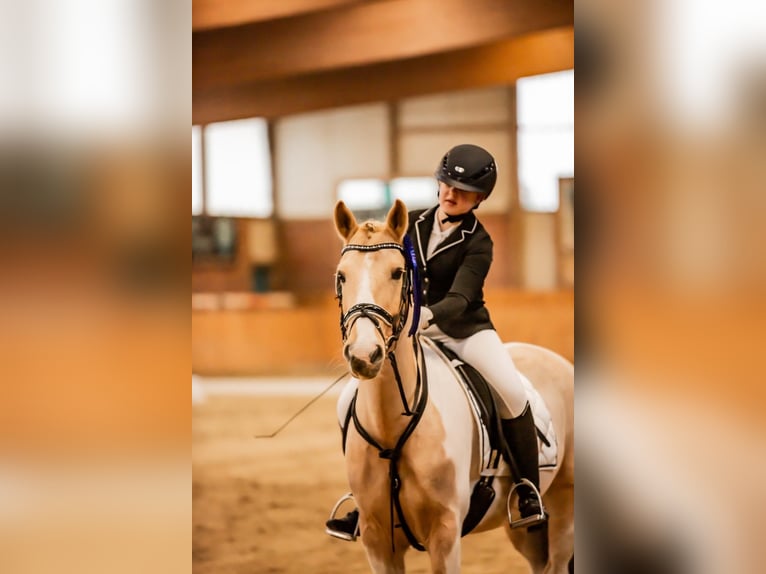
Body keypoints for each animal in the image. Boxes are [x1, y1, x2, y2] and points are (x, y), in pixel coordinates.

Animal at [332, 198, 574, 574]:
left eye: (397, 273)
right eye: (342, 275)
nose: (364, 354)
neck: (393, 428)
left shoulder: (445, 536)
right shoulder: (377, 541)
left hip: (565, 508)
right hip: (525, 531)